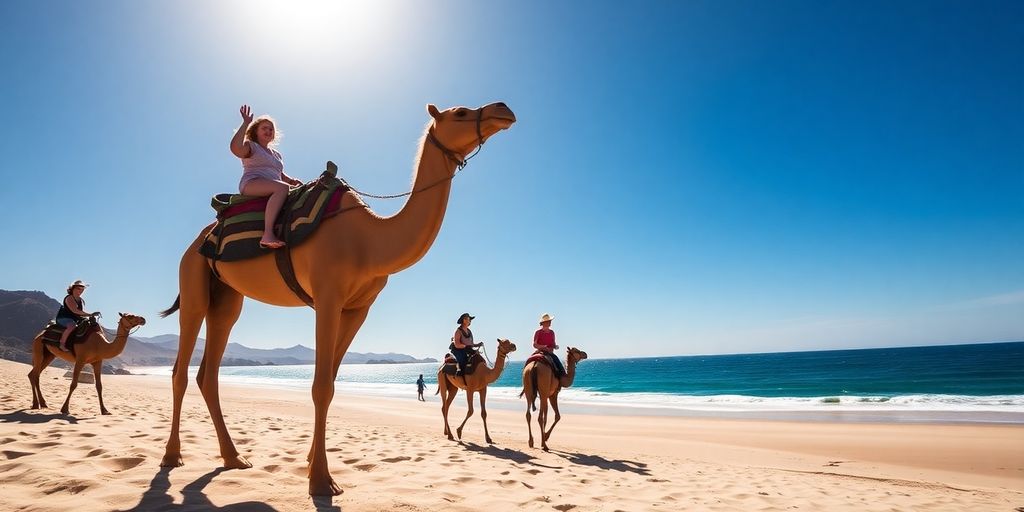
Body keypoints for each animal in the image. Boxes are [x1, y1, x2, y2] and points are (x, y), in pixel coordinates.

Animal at [157, 102, 515, 496]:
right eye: (461, 112)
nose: (503, 110)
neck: (370, 241)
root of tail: (200, 238)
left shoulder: (358, 308)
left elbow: (329, 381)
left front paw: (311, 463)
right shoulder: (327, 297)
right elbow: (320, 387)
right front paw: (321, 480)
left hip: (227, 297)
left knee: (210, 369)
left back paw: (234, 457)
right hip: (193, 279)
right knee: (180, 369)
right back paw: (172, 456)